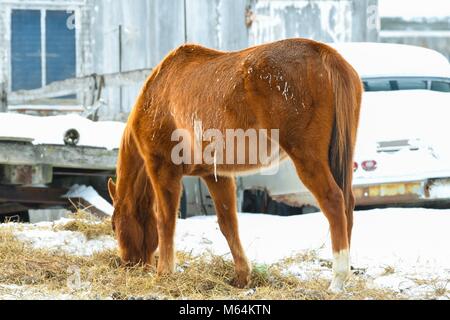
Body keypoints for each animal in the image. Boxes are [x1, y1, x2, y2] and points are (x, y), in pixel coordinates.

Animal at [108, 38, 362, 292]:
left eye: (114, 225)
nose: (129, 264)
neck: (157, 95)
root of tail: (323, 53)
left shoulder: (163, 170)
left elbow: (165, 220)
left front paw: (164, 274)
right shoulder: (216, 175)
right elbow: (228, 223)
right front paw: (242, 276)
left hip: (308, 159)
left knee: (333, 201)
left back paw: (337, 279)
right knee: (347, 203)